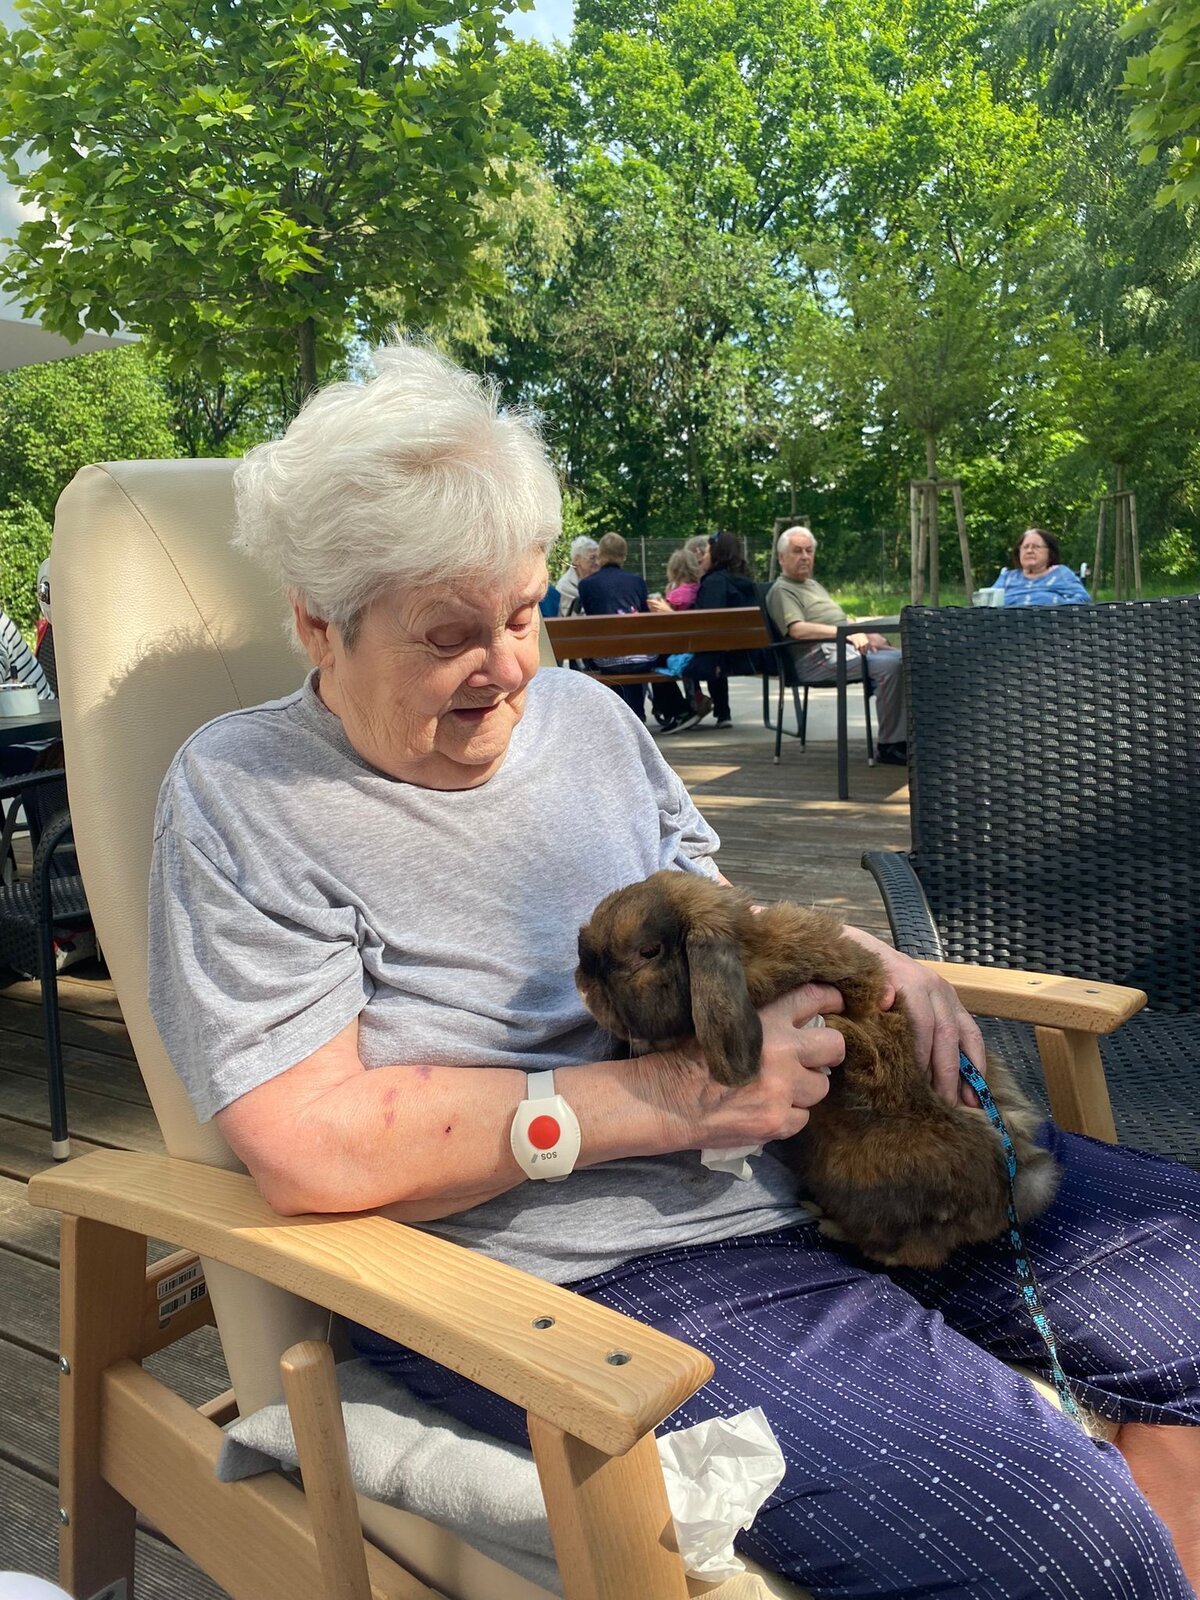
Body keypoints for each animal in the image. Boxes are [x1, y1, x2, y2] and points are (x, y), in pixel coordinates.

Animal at [575, 869, 1061, 1270]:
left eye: (648, 951)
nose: (582, 982)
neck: (750, 955)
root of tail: (1009, 1193)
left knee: (905, 1252)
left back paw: (826, 1221)